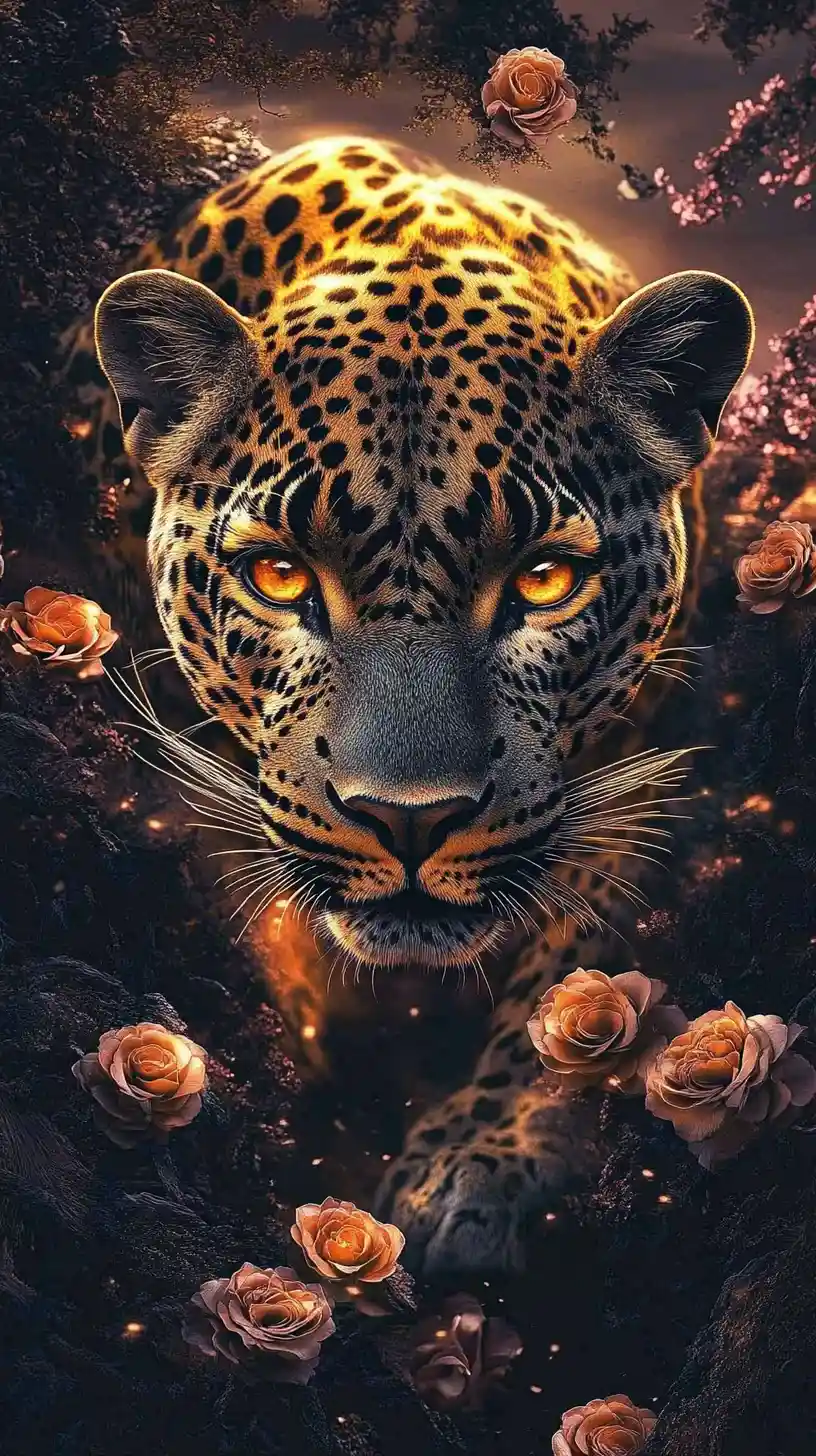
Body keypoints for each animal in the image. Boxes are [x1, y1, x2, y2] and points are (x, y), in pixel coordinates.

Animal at [60, 132, 754, 1275]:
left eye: (545, 581)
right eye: (281, 577)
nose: (410, 820)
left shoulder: (644, 763)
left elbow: (580, 968)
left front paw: (477, 1161)